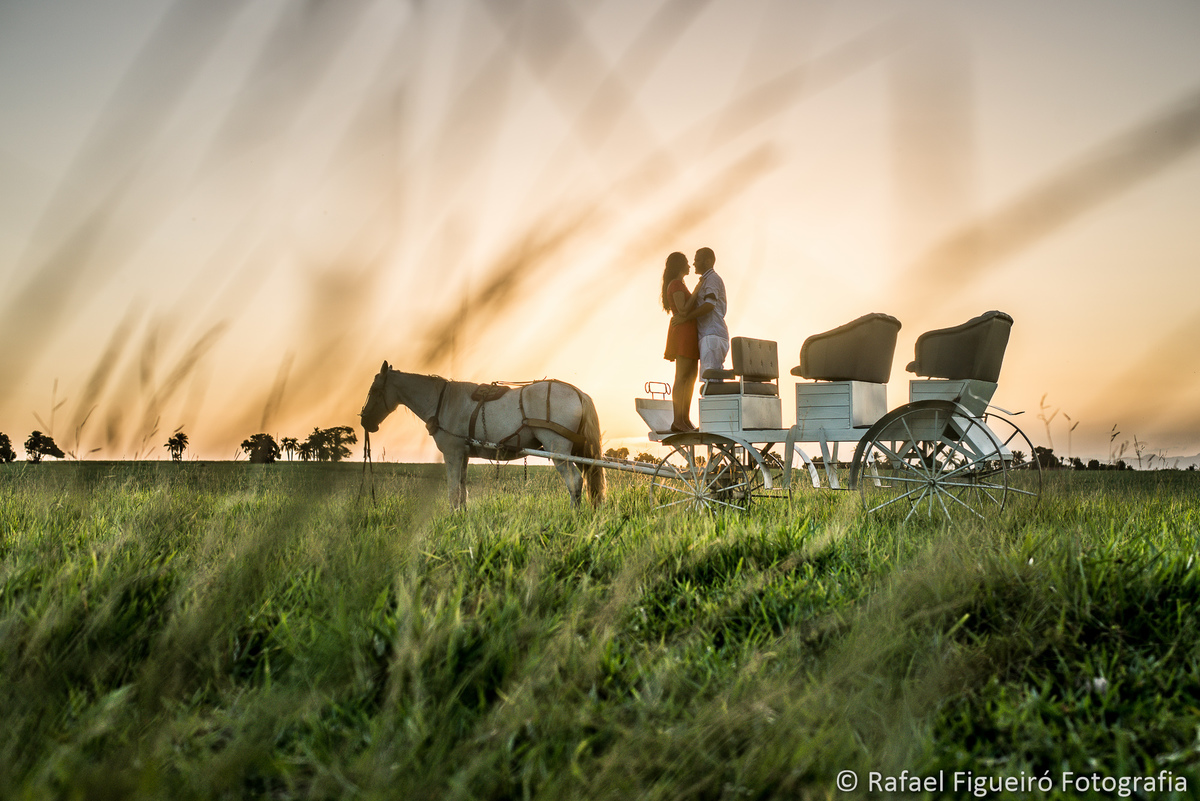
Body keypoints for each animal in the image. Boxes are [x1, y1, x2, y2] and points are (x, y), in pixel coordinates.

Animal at [359, 361, 606, 508]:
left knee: (574, 482)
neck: (443, 402)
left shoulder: (452, 453)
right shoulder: (464, 455)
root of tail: (578, 393)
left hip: (558, 449)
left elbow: (453, 492)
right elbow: (462, 491)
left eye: (374, 390)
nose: (364, 420)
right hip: (577, 450)